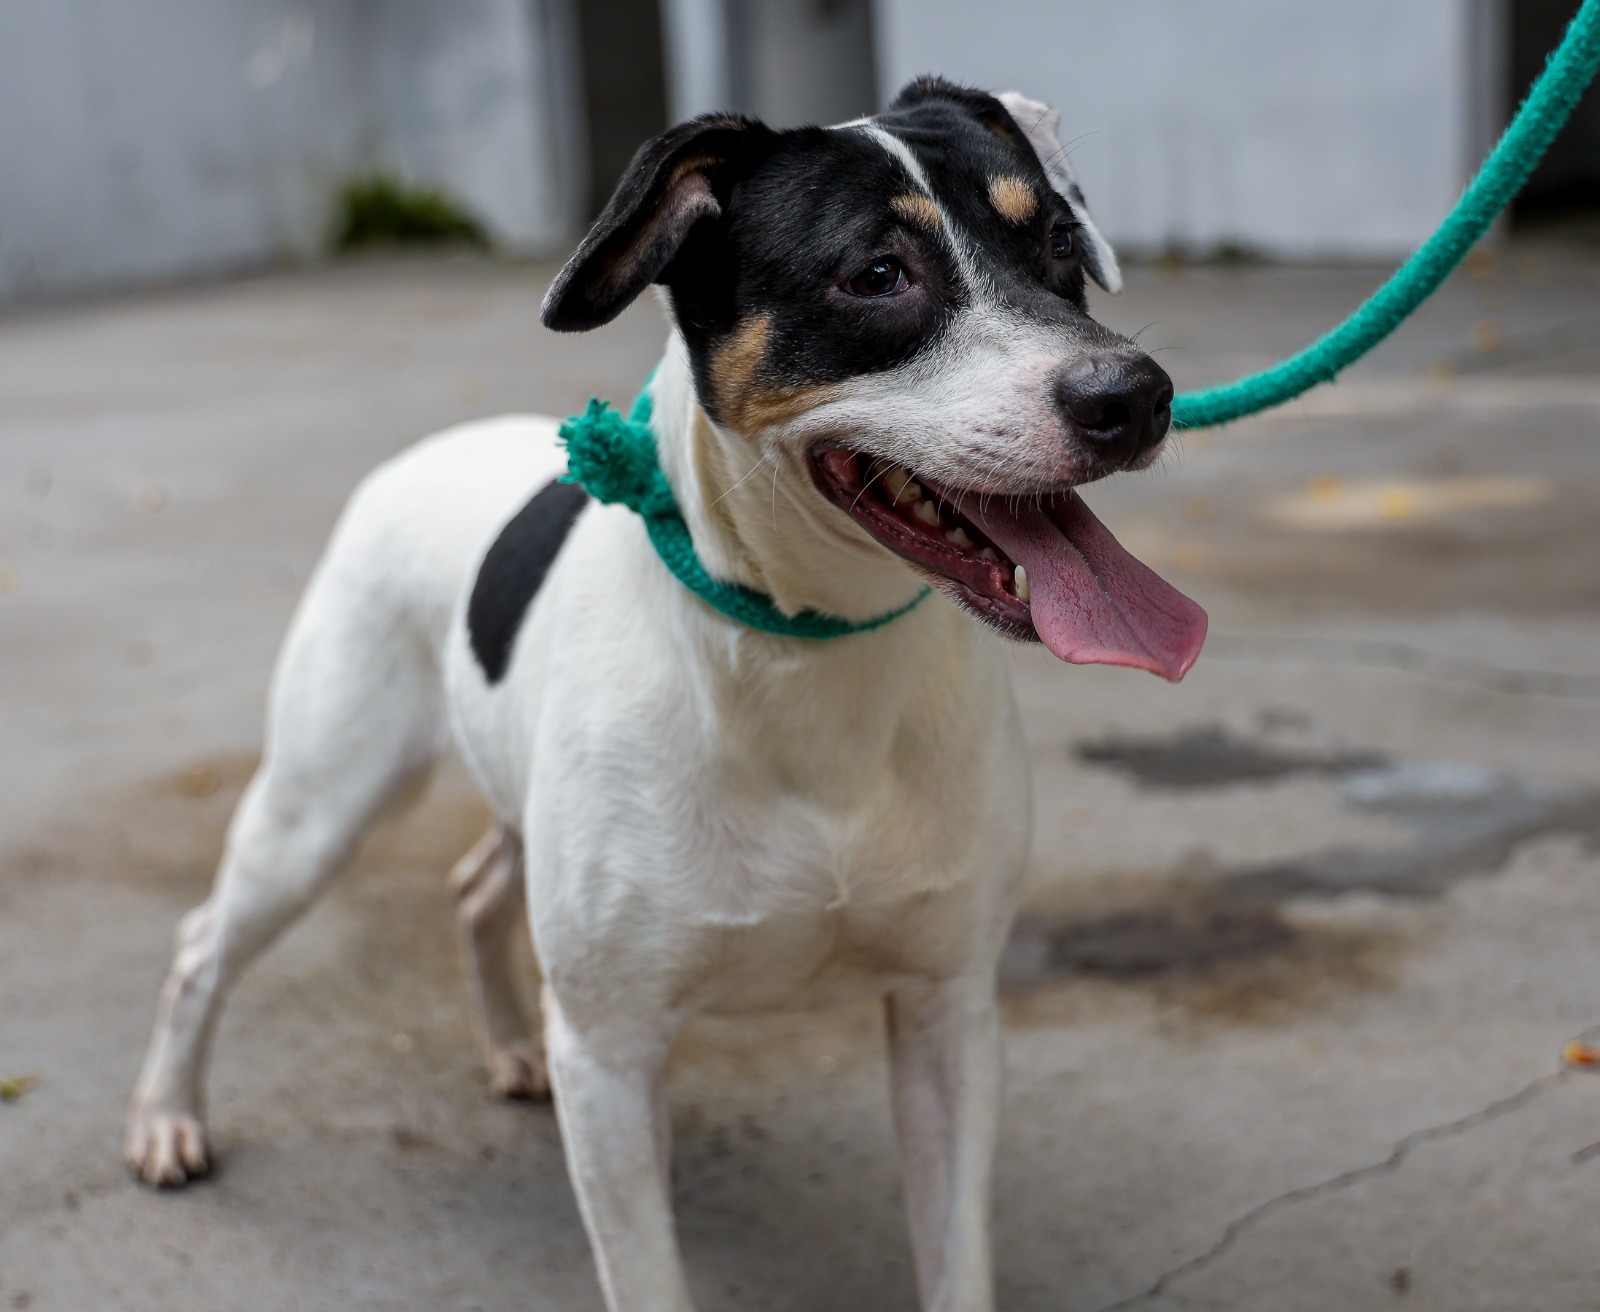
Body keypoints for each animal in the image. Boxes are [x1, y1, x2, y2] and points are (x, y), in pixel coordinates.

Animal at [128, 82, 1203, 1312]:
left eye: (1062, 244)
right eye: (877, 274)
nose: (1134, 396)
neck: (804, 652)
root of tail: (421, 451)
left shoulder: (948, 1014)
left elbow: (955, 1258)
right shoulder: (610, 1055)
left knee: (473, 887)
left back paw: (508, 1046)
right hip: (320, 804)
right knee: (204, 942)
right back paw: (166, 1120)